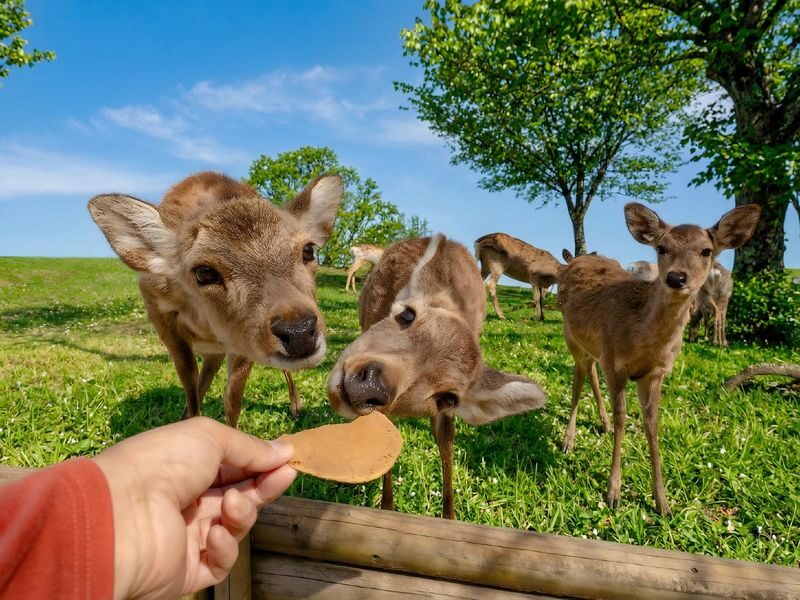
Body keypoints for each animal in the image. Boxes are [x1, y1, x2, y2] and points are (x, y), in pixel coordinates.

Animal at [88, 171, 343, 426]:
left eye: (308, 250)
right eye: (204, 272)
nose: (299, 331)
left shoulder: (241, 339)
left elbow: (233, 398)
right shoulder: (158, 308)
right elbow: (189, 377)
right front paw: (192, 422)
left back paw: (297, 407)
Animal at [328, 234, 547, 519]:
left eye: (448, 397)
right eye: (407, 314)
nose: (370, 384)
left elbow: (446, 439)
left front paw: (450, 517)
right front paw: (387, 508)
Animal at [557, 202, 760, 515]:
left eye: (706, 251)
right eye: (662, 248)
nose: (676, 277)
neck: (641, 336)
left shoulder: (655, 372)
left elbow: (652, 426)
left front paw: (662, 502)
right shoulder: (615, 362)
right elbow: (622, 419)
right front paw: (613, 493)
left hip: (593, 348)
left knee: (589, 371)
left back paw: (600, 424)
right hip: (572, 337)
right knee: (578, 382)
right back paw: (568, 440)